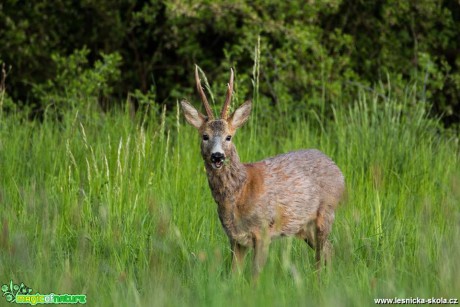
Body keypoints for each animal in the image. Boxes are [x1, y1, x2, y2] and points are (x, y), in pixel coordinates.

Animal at [181, 66, 344, 278]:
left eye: (229, 137)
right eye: (205, 136)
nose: (217, 156)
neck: (239, 194)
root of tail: (337, 169)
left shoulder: (264, 230)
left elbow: (255, 275)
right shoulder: (235, 238)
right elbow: (233, 275)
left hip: (326, 213)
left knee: (321, 254)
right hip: (304, 227)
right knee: (328, 250)